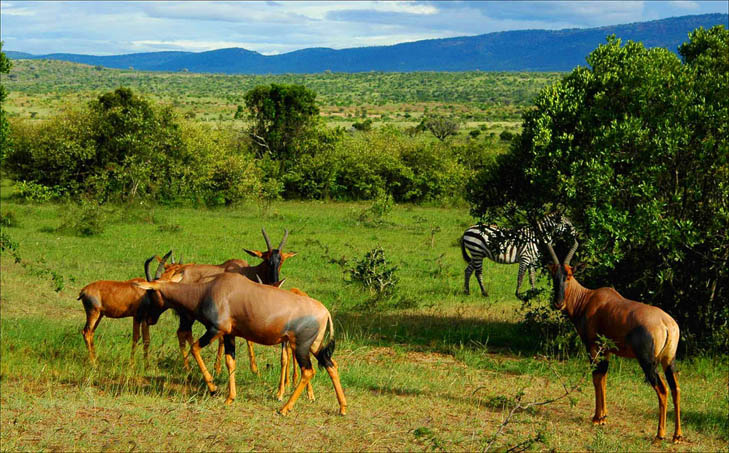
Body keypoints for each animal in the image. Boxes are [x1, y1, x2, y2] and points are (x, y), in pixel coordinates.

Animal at [136, 268, 346, 416]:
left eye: (151, 293)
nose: (149, 319)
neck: (211, 290)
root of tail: (324, 312)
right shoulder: (229, 334)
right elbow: (230, 361)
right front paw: (230, 398)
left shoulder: (216, 329)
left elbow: (195, 348)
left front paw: (213, 388)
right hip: (314, 347)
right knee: (331, 365)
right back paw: (342, 408)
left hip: (301, 347)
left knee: (308, 371)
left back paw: (285, 408)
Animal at [544, 240, 684, 442]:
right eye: (554, 275)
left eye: (569, 275)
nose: (558, 303)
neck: (589, 299)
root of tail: (667, 324)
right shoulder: (607, 350)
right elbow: (604, 377)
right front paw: (603, 417)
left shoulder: (593, 347)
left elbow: (596, 377)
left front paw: (597, 418)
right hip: (669, 360)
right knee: (675, 389)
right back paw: (677, 435)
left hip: (648, 362)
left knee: (662, 389)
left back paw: (660, 434)